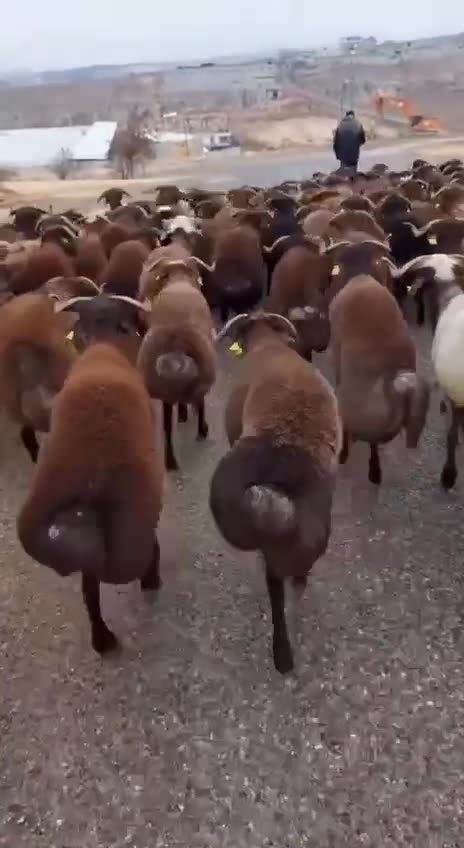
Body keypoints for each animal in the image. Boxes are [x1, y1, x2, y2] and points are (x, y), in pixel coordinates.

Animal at [138, 253, 216, 471]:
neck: (178, 280)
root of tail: (176, 342)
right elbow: (200, 402)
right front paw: (201, 426)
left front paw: (182, 413)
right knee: (198, 401)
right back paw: (201, 430)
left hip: (164, 388)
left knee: (167, 427)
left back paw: (170, 461)